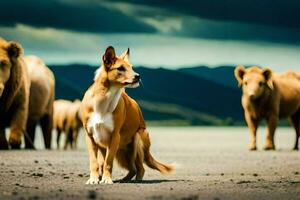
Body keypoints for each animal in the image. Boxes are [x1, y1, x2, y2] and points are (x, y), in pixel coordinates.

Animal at [80, 46, 173, 184]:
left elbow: (108, 162)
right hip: (118, 152)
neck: (104, 98)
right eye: (120, 68)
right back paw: (122, 179)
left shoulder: (114, 137)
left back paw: (135, 180)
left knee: (139, 168)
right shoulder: (90, 137)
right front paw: (94, 179)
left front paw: (107, 179)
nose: (138, 76)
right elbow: (95, 162)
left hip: (136, 141)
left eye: (131, 67)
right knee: (131, 168)